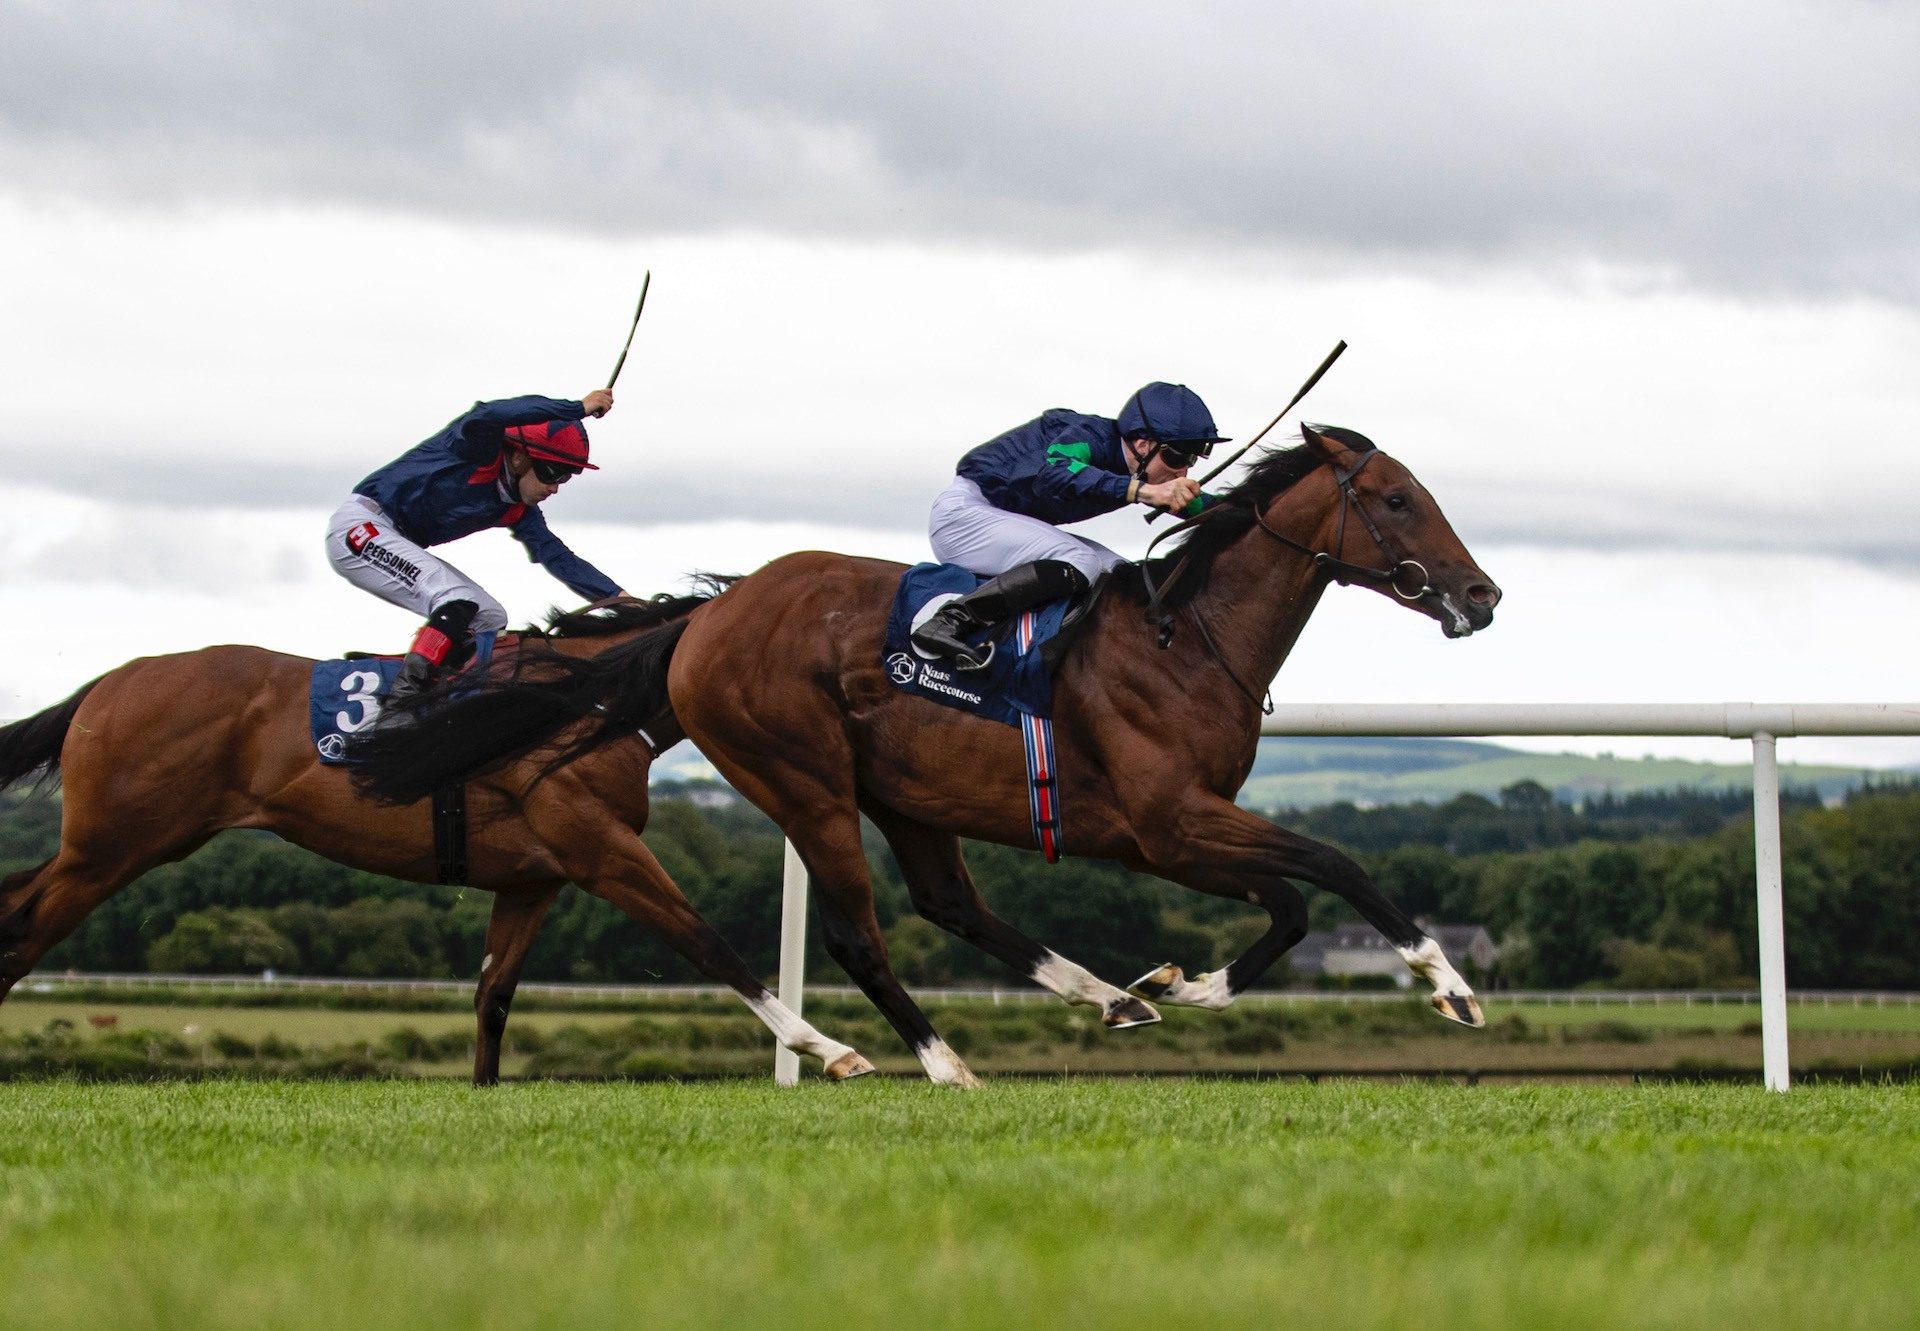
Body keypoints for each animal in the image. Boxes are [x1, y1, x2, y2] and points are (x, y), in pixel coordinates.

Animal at [0, 595, 879, 1083]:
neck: (582, 702)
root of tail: (106, 685)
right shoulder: (600, 849)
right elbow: (709, 944)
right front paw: (828, 1047)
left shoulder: (534, 876)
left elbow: (494, 994)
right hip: (112, 847)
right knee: (22, 931)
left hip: (111, 845)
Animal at [357, 422, 1497, 1083]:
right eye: (1397, 498)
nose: (1481, 593)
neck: (1185, 637)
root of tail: (714, 614)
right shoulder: (1169, 824)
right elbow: (1333, 866)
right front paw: (1447, 982)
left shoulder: (1180, 830)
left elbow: (1295, 899)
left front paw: (1180, 982)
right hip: (805, 779)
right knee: (861, 935)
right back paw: (939, 1063)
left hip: (904, 793)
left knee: (950, 903)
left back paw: (1108, 995)